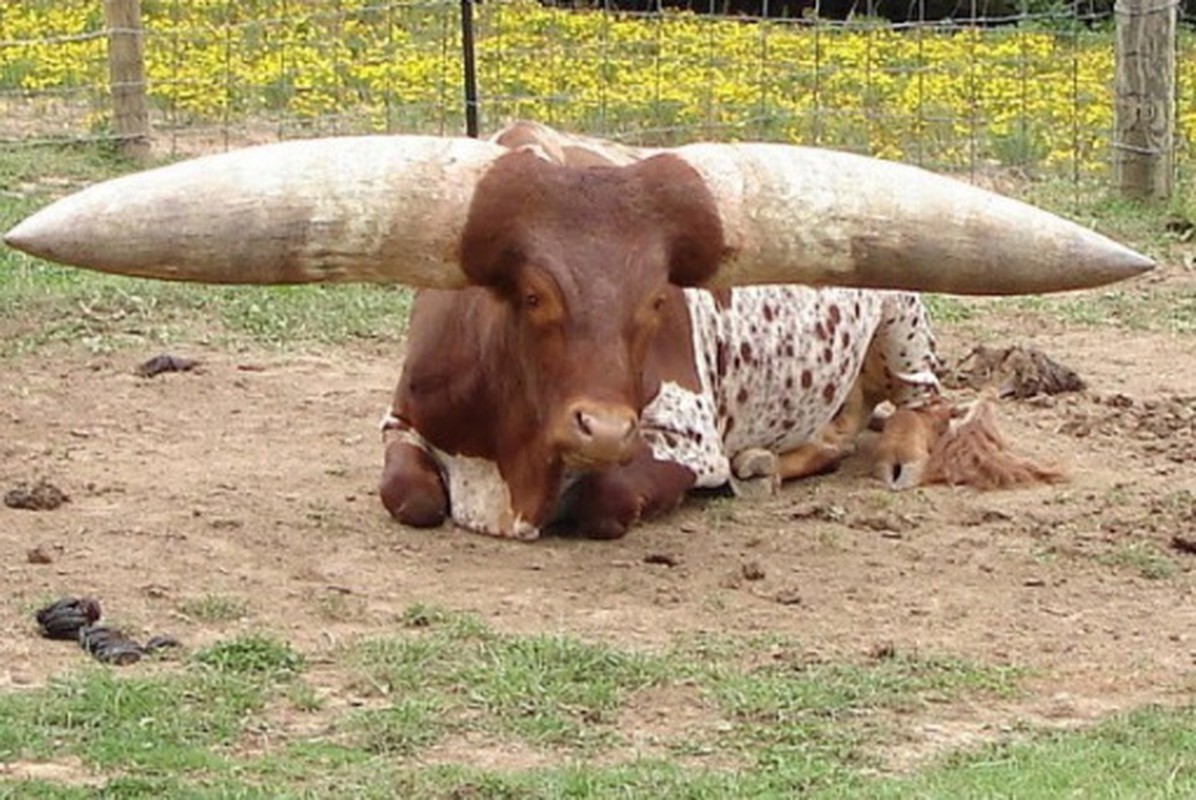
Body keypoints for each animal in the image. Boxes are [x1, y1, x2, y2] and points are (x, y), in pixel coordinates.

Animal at [4, 121, 1152, 540]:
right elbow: (408, 493)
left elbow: (606, 502)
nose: (600, 425)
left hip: (904, 312)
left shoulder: (677, 442)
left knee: (916, 403)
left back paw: (859, 456)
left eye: (656, 301)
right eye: (530, 297)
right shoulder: (401, 416)